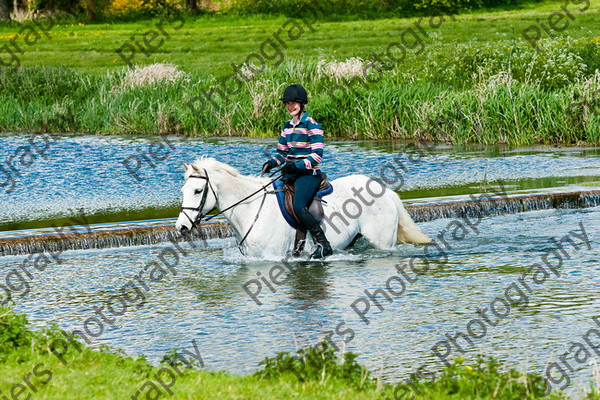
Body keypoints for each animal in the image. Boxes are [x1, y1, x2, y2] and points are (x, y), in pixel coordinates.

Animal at [173, 158, 432, 258]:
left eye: (198, 191)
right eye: (183, 190)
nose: (182, 227)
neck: (251, 209)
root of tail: (385, 191)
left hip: (383, 243)